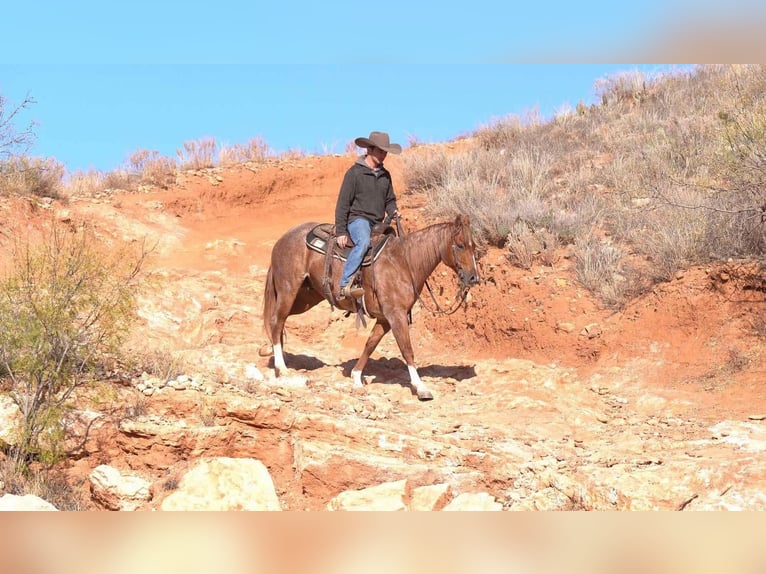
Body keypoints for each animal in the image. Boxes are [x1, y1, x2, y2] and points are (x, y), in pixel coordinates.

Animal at [264, 215, 480, 400]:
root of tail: (284, 238)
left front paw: (356, 377)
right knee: (277, 321)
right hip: (289, 290)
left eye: (474, 246)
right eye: (460, 245)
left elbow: (370, 344)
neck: (404, 263)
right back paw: (281, 367)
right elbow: (407, 349)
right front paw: (421, 388)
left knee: (278, 322)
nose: (473, 278)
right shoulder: (396, 315)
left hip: (305, 298)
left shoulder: (385, 319)